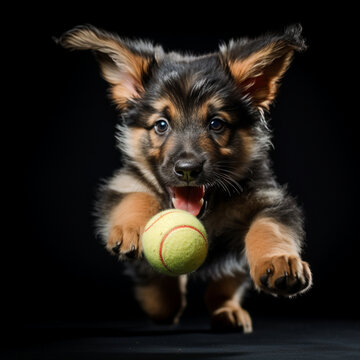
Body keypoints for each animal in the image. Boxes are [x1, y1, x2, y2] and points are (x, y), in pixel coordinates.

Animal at [59, 24, 312, 332]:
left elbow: (269, 228)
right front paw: (131, 228)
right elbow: (137, 197)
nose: (188, 169)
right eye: (161, 125)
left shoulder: (268, 198)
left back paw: (227, 310)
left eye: (216, 124)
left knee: (224, 286)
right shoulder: (124, 183)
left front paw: (278, 260)